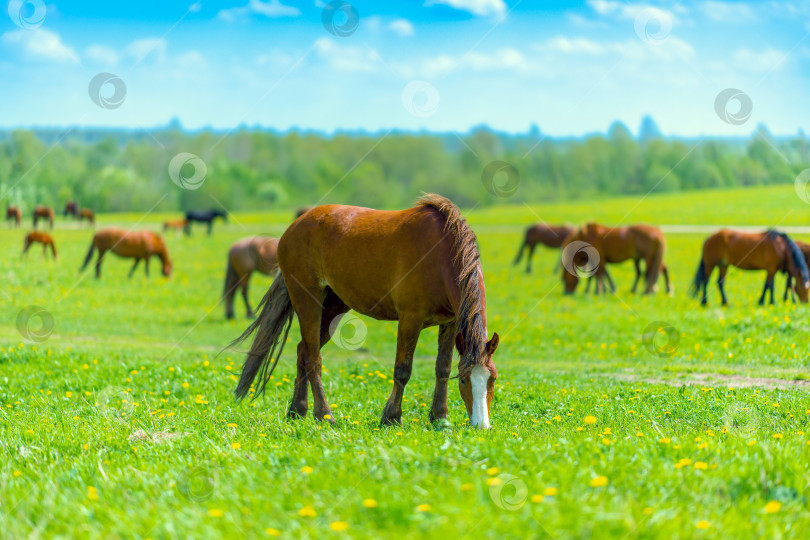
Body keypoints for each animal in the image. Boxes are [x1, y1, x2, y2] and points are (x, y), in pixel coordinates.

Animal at [230, 194, 498, 430]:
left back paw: (298, 410)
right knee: (313, 357)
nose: (481, 425)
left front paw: (440, 418)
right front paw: (391, 417)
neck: (440, 254)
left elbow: (442, 368)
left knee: (303, 351)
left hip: (334, 305)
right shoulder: (410, 319)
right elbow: (403, 369)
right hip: (307, 300)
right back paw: (325, 415)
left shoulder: (450, 323)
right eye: (464, 380)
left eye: (492, 378)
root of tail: (295, 226)